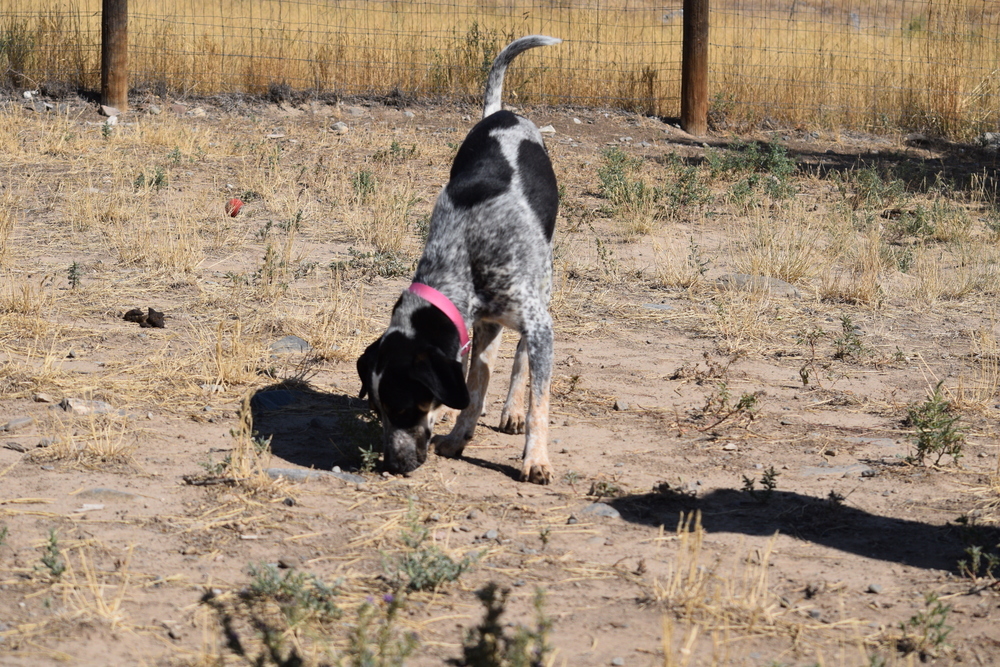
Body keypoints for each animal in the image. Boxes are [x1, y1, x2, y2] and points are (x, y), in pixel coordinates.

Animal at [358, 35, 564, 486]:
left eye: (405, 407)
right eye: (378, 411)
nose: (392, 465)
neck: (465, 251)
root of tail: (501, 111)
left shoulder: (537, 322)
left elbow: (539, 402)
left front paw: (536, 459)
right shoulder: (480, 325)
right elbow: (473, 386)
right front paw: (457, 438)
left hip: (542, 284)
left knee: (521, 355)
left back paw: (512, 411)